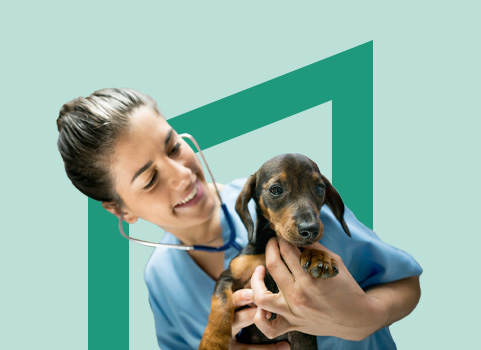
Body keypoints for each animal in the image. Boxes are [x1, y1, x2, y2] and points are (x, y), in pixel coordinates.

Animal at [198, 154, 348, 350]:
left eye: (319, 188)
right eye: (276, 190)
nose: (310, 229)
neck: (272, 239)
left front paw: (319, 256)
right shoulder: (229, 277)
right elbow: (222, 304)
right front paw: (212, 342)